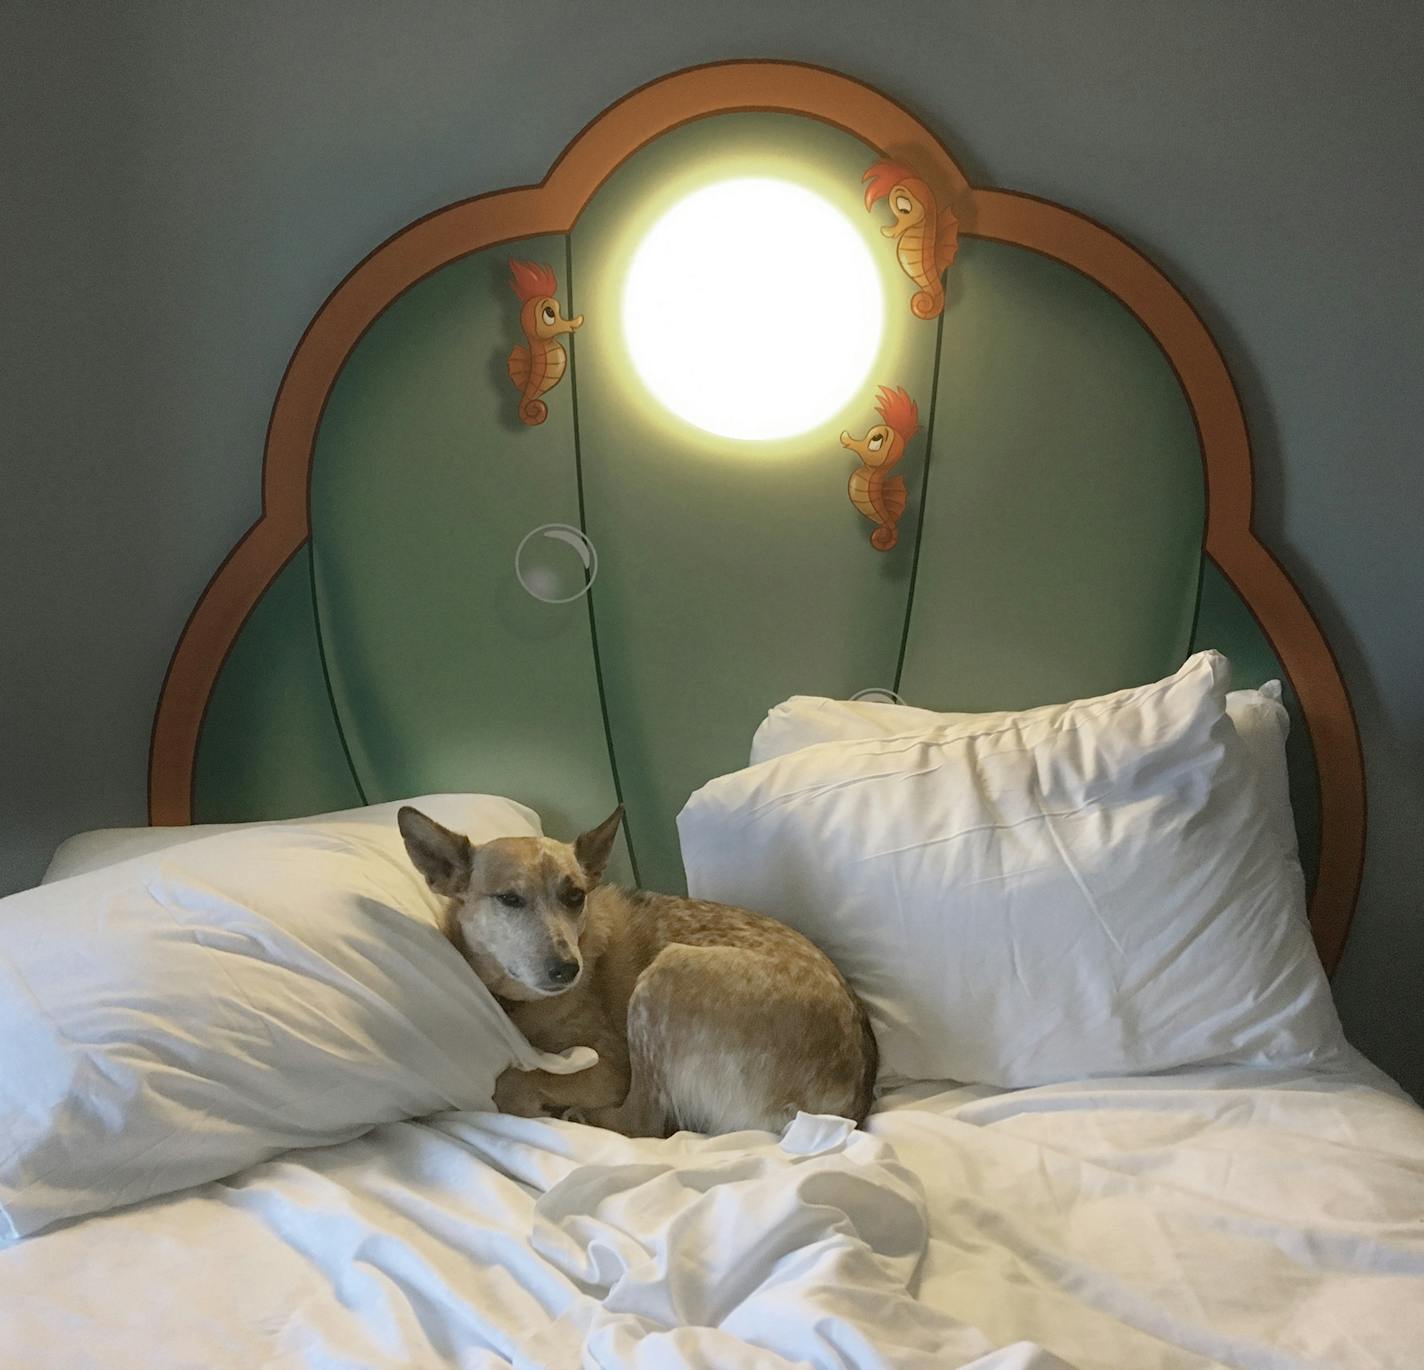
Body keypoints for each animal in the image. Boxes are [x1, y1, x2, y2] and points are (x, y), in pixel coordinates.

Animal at [395, 803, 871, 1133]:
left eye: (575, 895)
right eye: (510, 899)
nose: (567, 969)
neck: (519, 1003)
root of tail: (844, 1107)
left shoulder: (609, 1069)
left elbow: (511, 1083)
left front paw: (531, 1099)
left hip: (665, 978)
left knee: (642, 1123)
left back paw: (579, 1116)